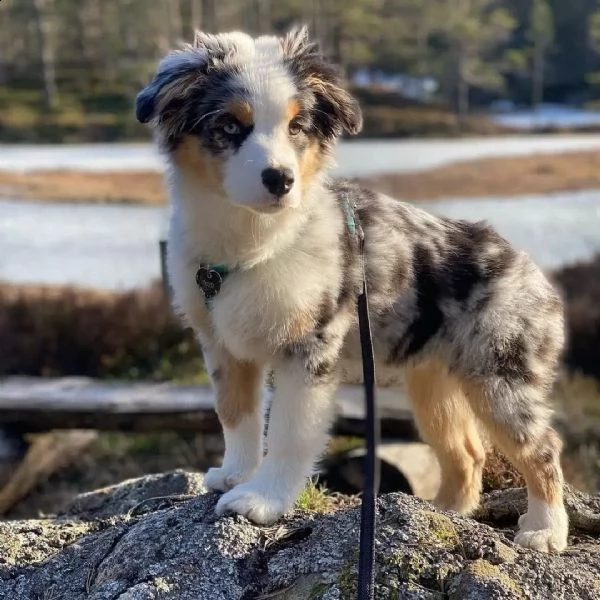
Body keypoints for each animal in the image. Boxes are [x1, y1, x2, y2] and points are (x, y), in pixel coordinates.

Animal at [138, 27, 568, 552]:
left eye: (297, 127)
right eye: (229, 125)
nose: (280, 180)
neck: (254, 241)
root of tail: (532, 271)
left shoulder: (309, 349)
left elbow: (288, 431)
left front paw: (262, 501)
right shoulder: (221, 343)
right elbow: (235, 413)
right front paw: (234, 474)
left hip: (501, 376)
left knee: (542, 447)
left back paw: (545, 532)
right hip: (432, 384)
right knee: (466, 452)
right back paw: (442, 515)